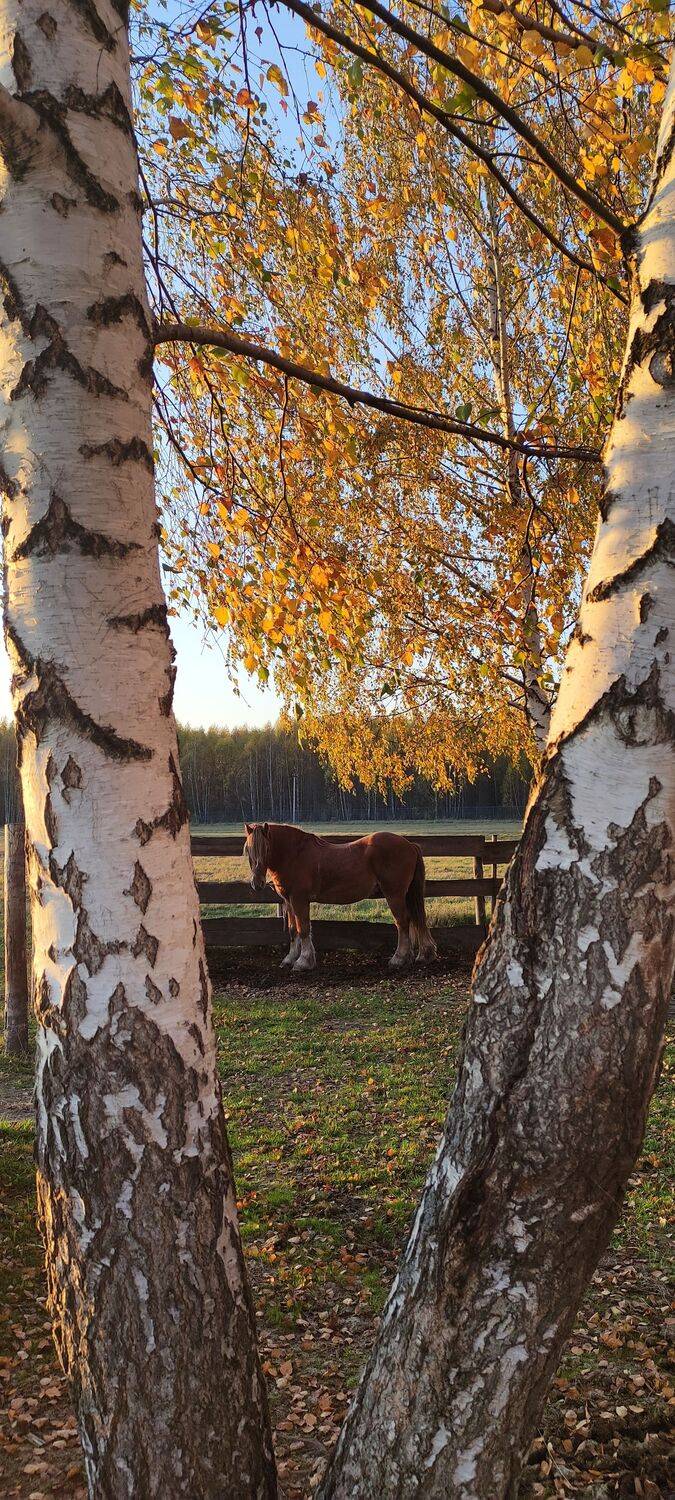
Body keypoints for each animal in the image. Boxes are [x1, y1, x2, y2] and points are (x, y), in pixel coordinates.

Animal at [243, 822, 437, 972]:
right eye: (248, 850)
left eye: (266, 848)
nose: (257, 883)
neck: (295, 855)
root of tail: (410, 845)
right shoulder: (289, 902)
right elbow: (293, 930)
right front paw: (290, 959)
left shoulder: (300, 900)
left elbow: (303, 928)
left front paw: (304, 962)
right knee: (413, 919)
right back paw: (419, 955)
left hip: (394, 894)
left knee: (402, 922)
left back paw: (398, 959)